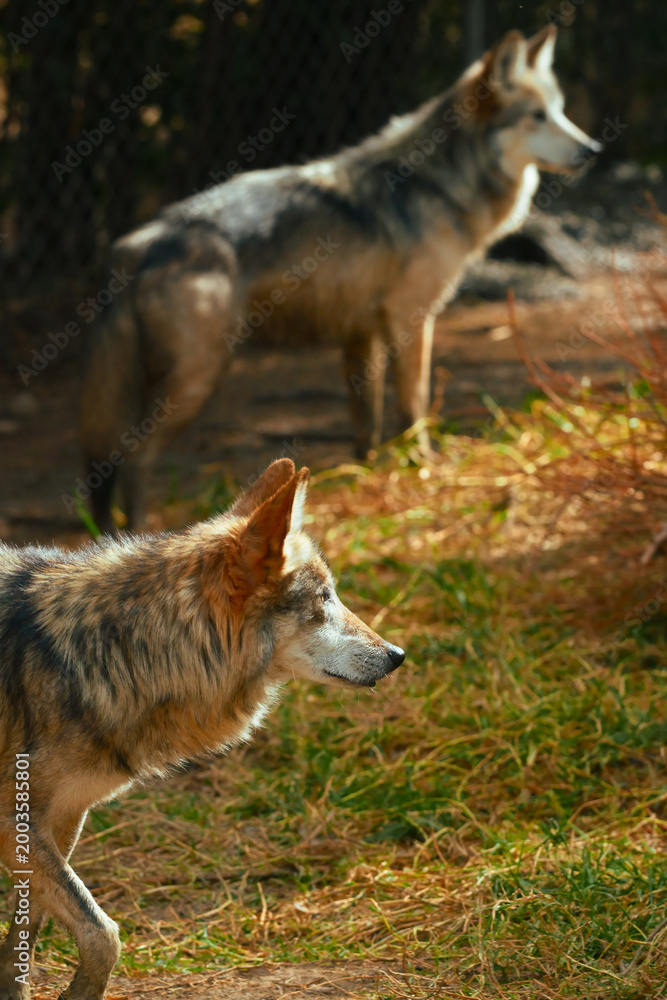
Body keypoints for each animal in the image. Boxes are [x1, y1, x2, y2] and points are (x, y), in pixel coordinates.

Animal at [0, 459, 405, 999]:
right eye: (324, 599)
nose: (398, 655)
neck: (118, 649)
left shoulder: (63, 817)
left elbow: (30, 929)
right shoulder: (17, 822)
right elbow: (103, 934)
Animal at [80, 25, 600, 532]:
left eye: (560, 111)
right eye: (537, 116)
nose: (593, 149)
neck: (442, 182)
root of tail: (140, 243)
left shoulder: (360, 336)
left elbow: (366, 424)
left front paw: (364, 479)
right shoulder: (411, 319)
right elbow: (414, 406)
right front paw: (426, 468)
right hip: (197, 380)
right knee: (133, 462)